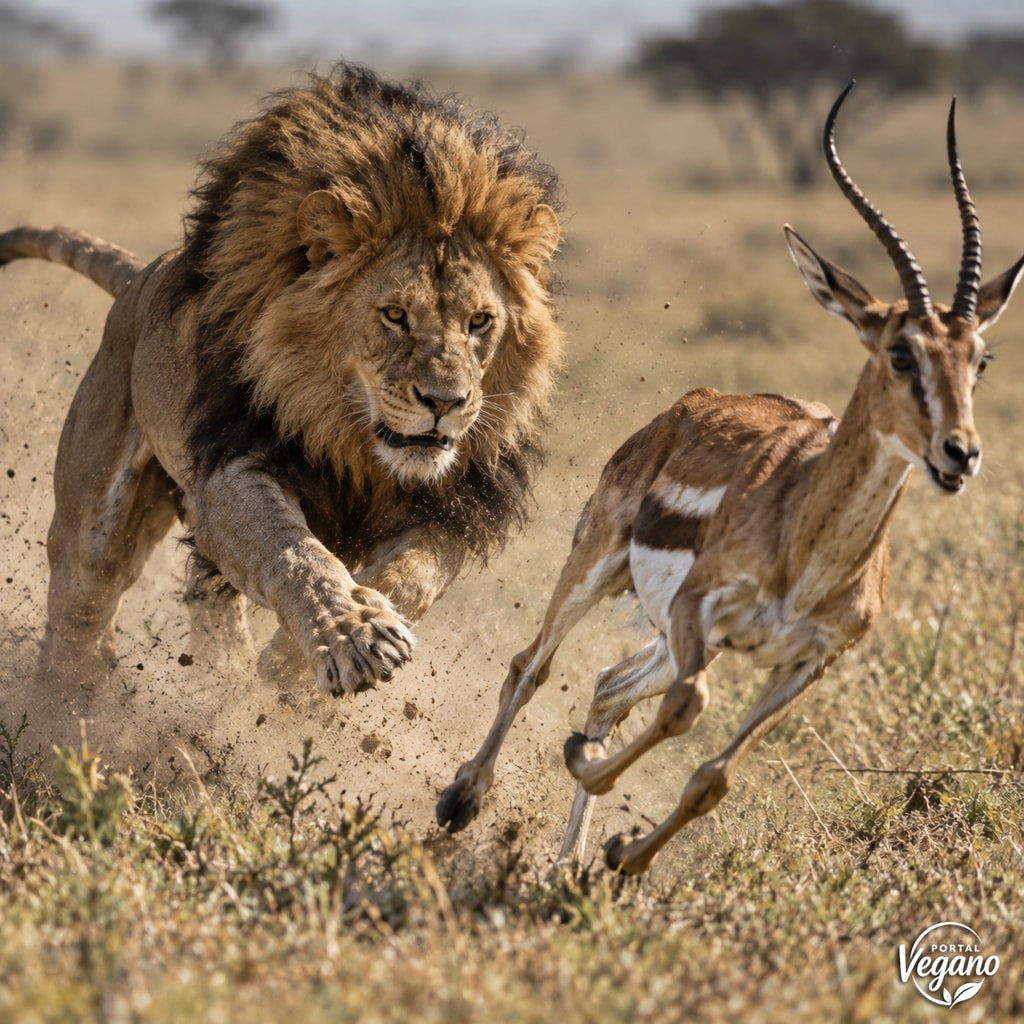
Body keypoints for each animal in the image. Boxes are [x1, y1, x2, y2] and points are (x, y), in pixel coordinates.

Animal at [0, 63, 563, 697]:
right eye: (395, 314)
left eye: (479, 322)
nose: (445, 402)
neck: (354, 441)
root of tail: (140, 277)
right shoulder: (234, 464)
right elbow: (291, 551)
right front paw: (355, 635)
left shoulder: (453, 509)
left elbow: (410, 576)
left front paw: (289, 667)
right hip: (96, 514)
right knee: (80, 606)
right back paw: (73, 705)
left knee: (207, 602)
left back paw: (221, 686)